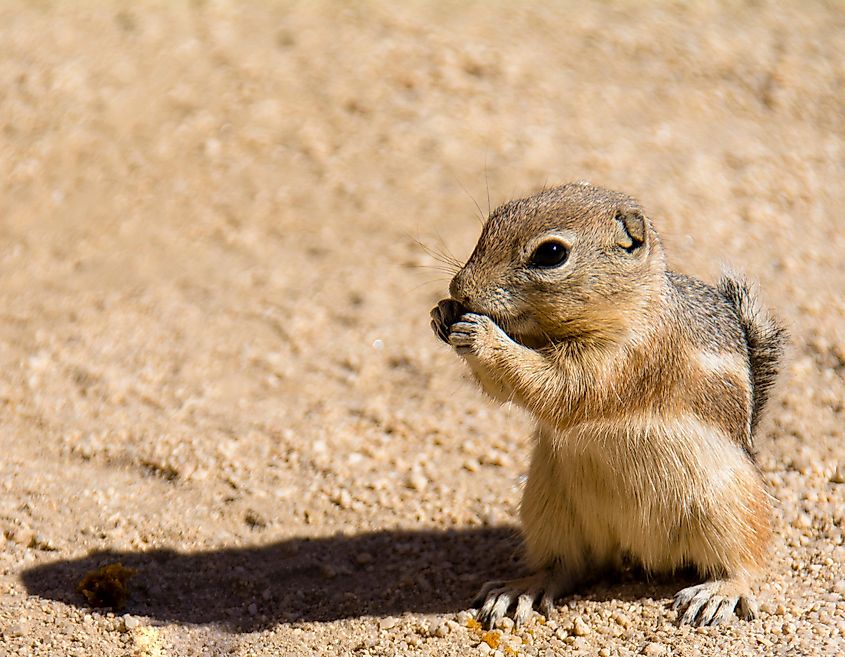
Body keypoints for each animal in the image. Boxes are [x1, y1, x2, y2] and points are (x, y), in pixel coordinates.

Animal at [432, 182, 788, 628]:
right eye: (491, 222)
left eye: (551, 253)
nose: (458, 289)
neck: (632, 307)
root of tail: (642, 552)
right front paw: (443, 314)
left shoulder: (625, 359)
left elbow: (560, 388)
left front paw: (482, 334)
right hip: (548, 509)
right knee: (568, 565)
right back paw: (520, 589)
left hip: (729, 507)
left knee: (746, 561)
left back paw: (719, 593)